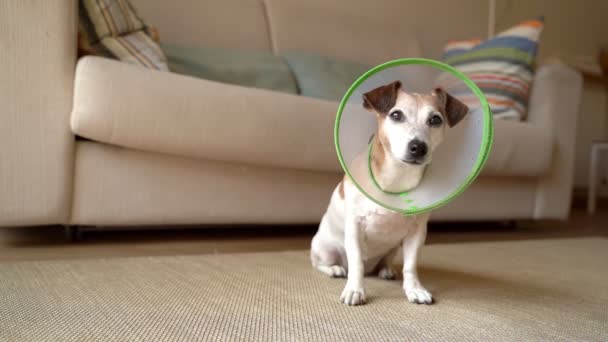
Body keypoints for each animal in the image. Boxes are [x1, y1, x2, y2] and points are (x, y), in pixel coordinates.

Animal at [312, 81, 468, 306]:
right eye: (396, 115)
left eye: (435, 119)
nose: (418, 147)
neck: (397, 178)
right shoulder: (355, 228)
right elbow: (356, 263)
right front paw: (354, 290)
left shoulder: (417, 233)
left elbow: (410, 265)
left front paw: (414, 289)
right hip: (325, 248)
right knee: (322, 264)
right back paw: (335, 269)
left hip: (393, 247)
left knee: (385, 262)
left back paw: (386, 270)